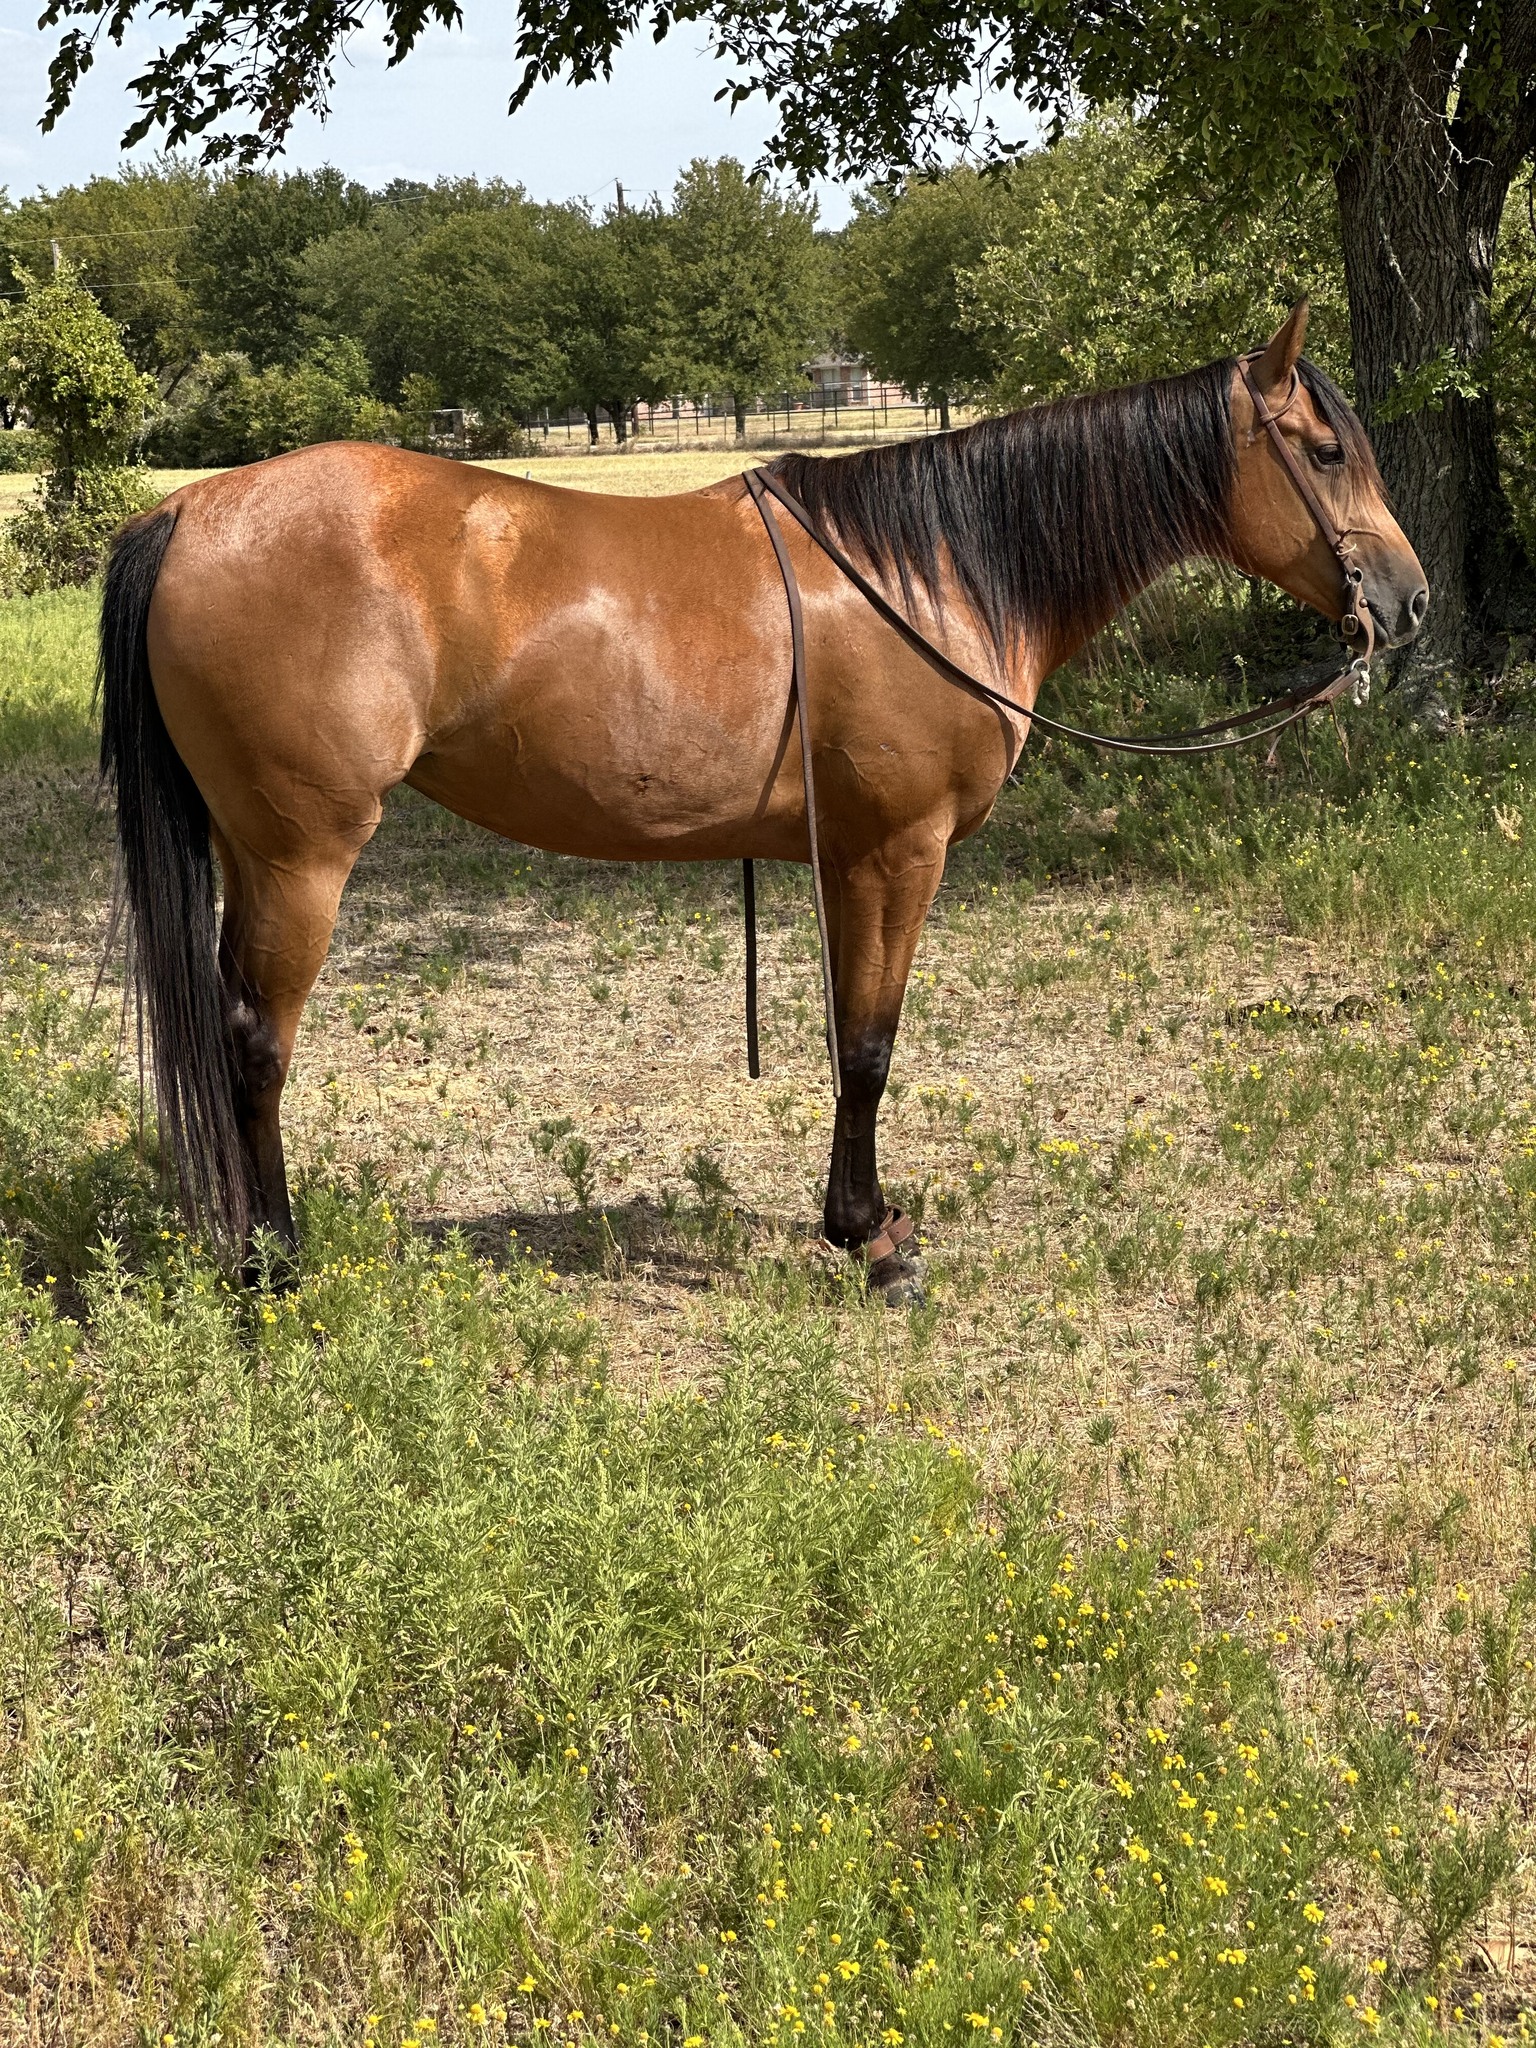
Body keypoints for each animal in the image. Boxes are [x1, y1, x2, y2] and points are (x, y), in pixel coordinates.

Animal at [99, 301, 1426, 1303]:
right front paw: (873, 1236)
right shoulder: (896, 850)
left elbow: (852, 1034)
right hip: (301, 852)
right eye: (1324, 452)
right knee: (254, 1041)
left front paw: (857, 1218)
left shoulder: (851, 858)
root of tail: (187, 509)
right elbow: (871, 1042)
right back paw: (273, 1266)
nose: (1409, 602)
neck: (935, 570)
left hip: (251, 845)